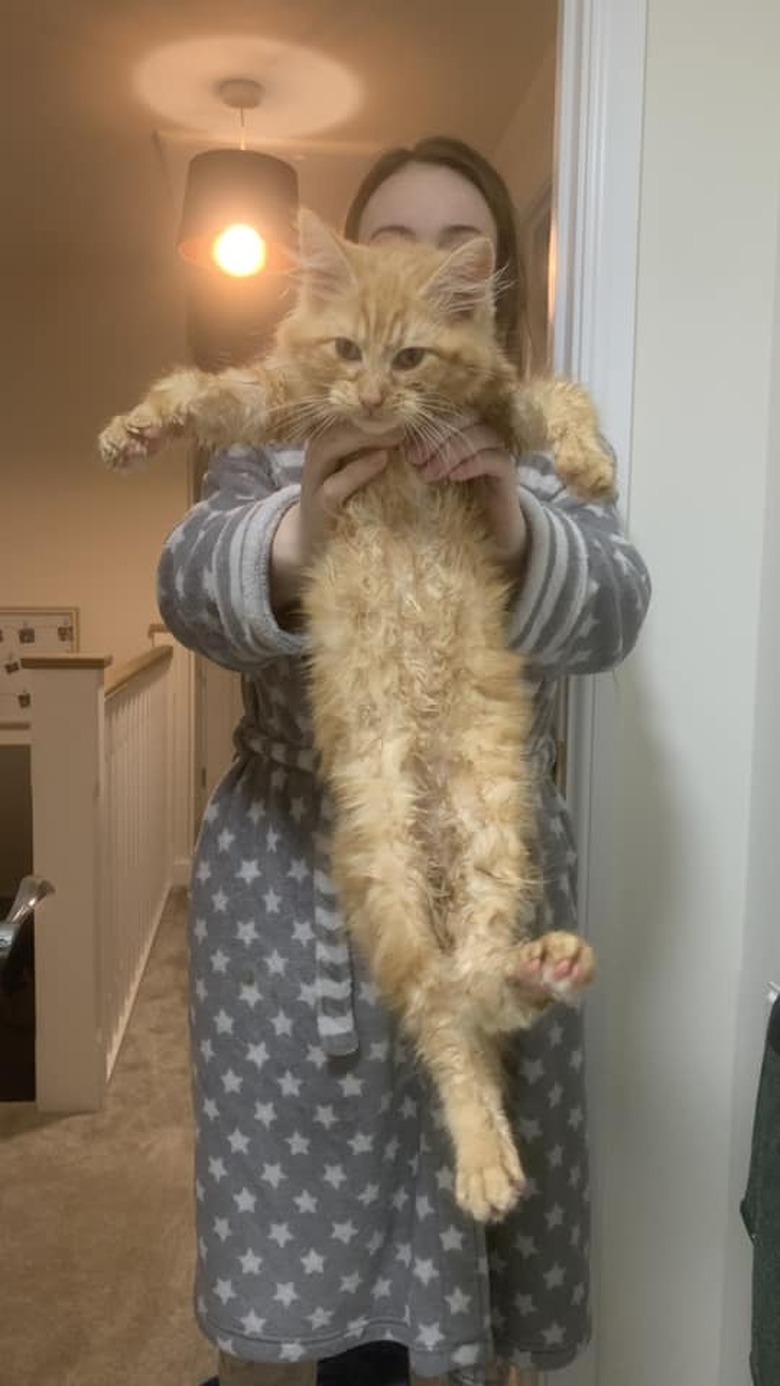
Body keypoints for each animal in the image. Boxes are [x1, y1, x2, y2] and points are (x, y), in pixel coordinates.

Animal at [97, 210, 609, 1219]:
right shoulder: (281, 401)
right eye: (346, 351)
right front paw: (133, 429)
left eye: (409, 357)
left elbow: (566, 404)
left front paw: (594, 468)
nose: (370, 397)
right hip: (383, 859)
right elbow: (202, 392)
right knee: (444, 1014)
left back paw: (540, 988)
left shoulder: (500, 411)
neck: (397, 450)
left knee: (471, 998)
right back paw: (487, 1154)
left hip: (495, 832)